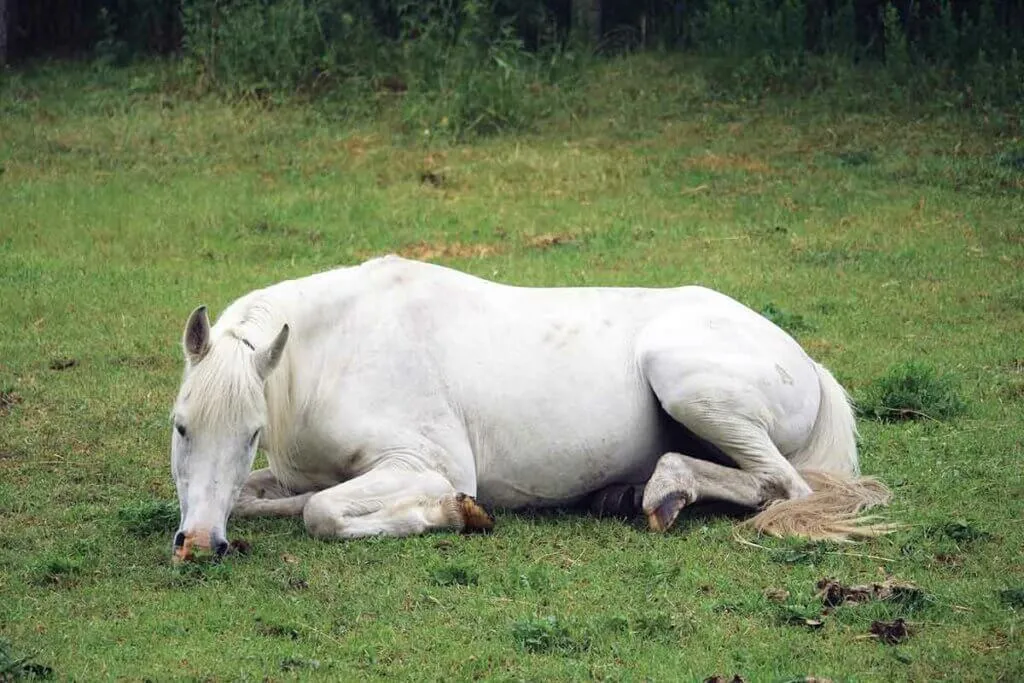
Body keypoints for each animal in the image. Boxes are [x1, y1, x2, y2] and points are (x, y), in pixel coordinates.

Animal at [169, 255, 890, 561]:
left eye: (250, 432)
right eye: (181, 427)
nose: (198, 544)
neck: (335, 350)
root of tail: (809, 365)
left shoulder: (427, 464)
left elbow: (321, 512)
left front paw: (457, 513)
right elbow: (266, 497)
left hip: (688, 382)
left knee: (783, 487)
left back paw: (666, 490)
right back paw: (633, 494)